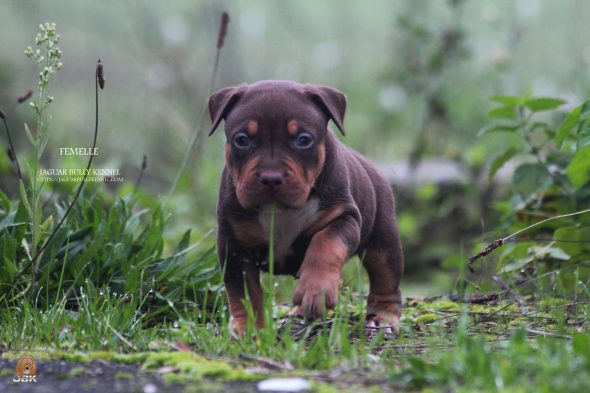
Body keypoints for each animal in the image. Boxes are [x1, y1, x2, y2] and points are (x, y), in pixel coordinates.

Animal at [206, 79, 404, 334]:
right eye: (242, 140)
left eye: (303, 140)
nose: (271, 178)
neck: (279, 211)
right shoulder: (233, 244)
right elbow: (242, 292)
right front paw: (249, 329)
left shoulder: (345, 217)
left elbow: (326, 242)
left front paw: (316, 288)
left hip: (383, 241)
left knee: (385, 277)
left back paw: (383, 317)